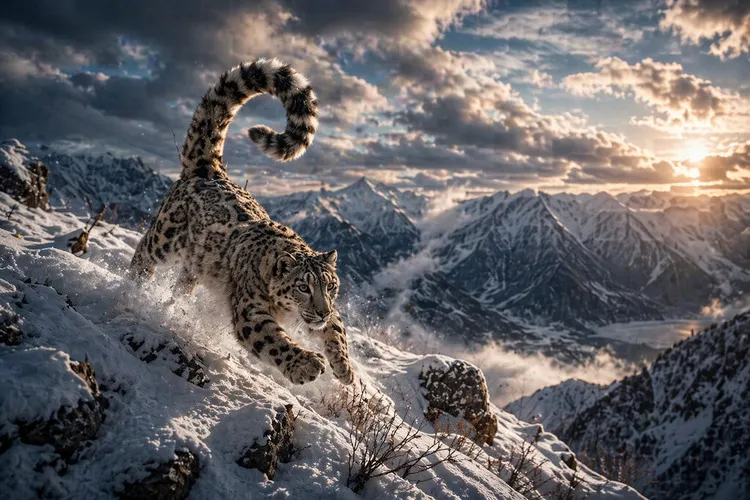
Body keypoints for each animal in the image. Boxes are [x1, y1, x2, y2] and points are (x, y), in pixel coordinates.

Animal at [128, 57, 354, 385]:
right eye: (302, 286)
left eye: (331, 286)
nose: (321, 311)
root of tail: (210, 169)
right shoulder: (251, 311)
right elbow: (274, 341)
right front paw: (307, 365)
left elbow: (338, 330)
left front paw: (344, 368)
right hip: (165, 237)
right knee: (144, 253)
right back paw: (133, 288)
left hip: (196, 264)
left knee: (183, 283)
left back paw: (176, 305)